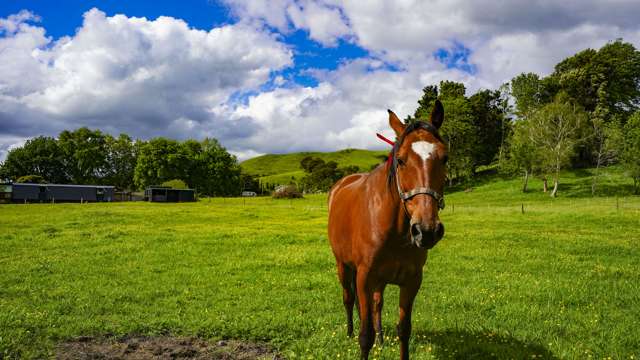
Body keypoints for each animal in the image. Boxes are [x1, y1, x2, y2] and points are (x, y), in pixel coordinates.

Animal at [328, 100, 448, 358]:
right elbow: (365, 336)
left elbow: (404, 330)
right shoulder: (364, 277)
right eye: (401, 160)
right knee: (348, 298)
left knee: (377, 304)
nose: (426, 230)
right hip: (343, 265)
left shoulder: (412, 280)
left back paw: (382, 338)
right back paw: (349, 332)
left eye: (445, 158)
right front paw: (361, 337)